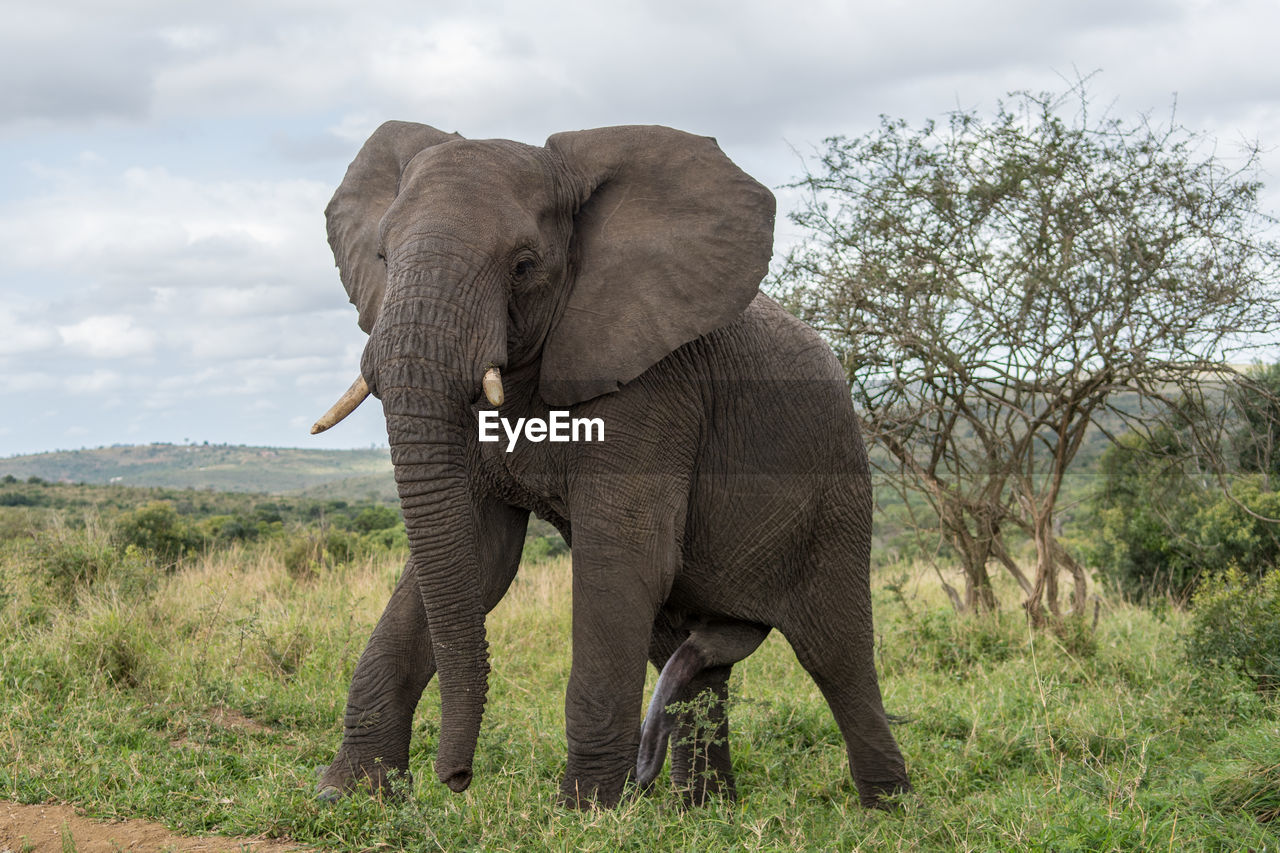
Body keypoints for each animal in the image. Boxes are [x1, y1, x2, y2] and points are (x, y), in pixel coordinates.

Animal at [309, 117, 911, 804]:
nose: (456, 779)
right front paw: (348, 794)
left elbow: (623, 559)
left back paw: (887, 809)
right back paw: (703, 810)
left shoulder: (655, 386)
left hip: (835, 489)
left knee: (837, 653)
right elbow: (480, 557)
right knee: (684, 652)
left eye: (524, 266)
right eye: (383, 258)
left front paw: (586, 809)